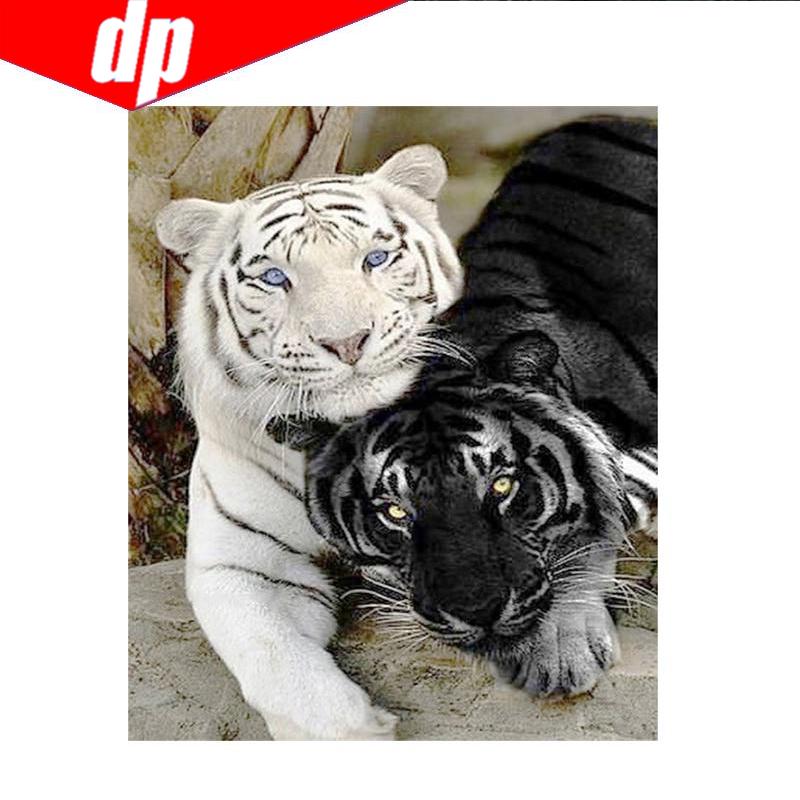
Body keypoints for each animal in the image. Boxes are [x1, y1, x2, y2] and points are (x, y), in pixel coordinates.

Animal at [153, 144, 464, 740]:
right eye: (276, 278)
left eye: (375, 259)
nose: (347, 341)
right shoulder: (239, 563)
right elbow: (272, 655)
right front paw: (354, 731)